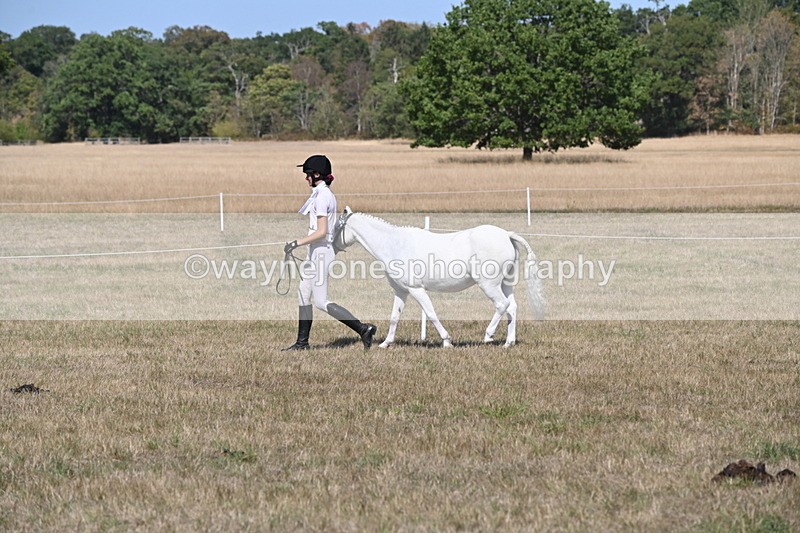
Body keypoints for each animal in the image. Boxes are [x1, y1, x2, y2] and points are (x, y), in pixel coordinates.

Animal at [334, 207, 545, 348]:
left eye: (336, 226)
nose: (332, 245)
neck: (395, 244)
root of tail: (507, 235)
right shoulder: (401, 291)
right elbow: (394, 316)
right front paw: (385, 343)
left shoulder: (416, 289)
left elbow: (430, 313)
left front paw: (447, 341)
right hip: (505, 283)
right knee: (512, 307)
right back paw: (508, 343)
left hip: (489, 284)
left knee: (502, 305)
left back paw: (488, 335)